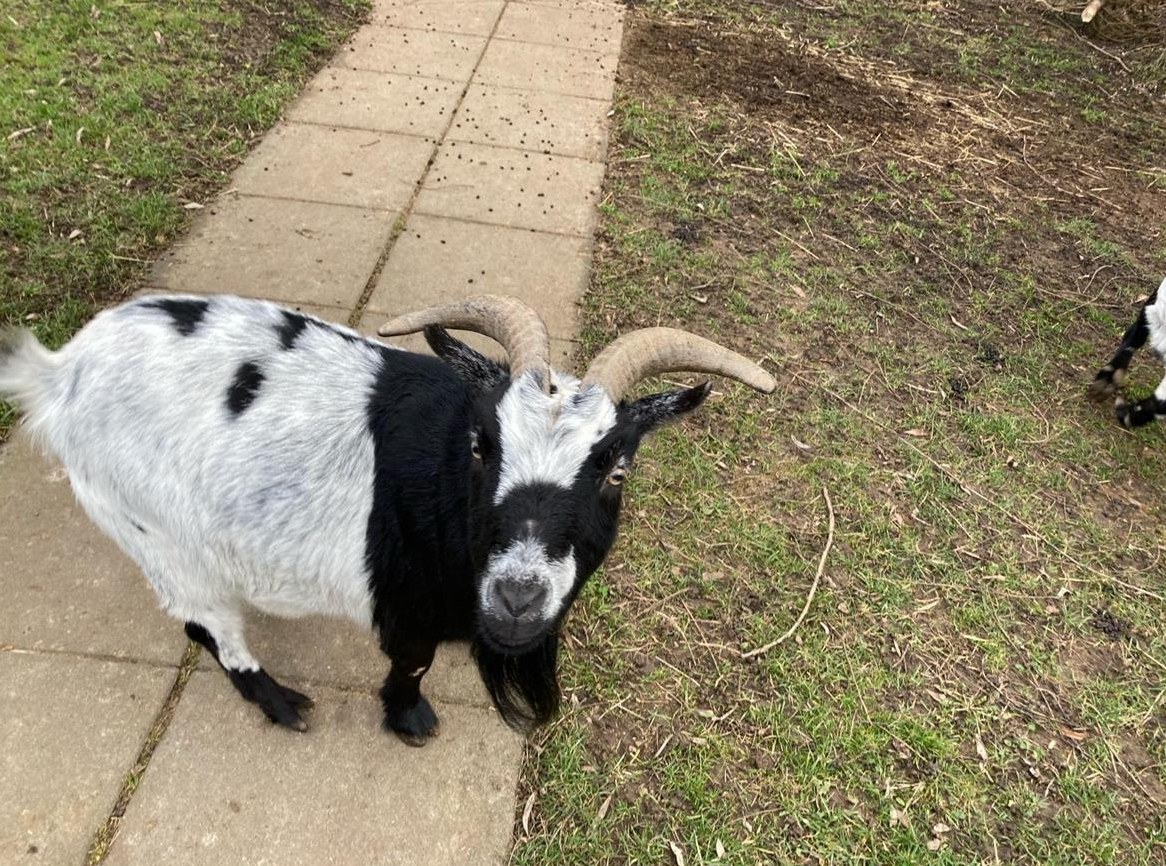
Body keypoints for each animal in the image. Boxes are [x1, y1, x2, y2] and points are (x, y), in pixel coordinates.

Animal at [0, 294, 774, 744]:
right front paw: (407, 719)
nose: (517, 598)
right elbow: (413, 661)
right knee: (203, 623)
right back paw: (282, 704)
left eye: (617, 470)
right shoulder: (406, 603)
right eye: (480, 446)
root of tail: (61, 374)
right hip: (153, 534)